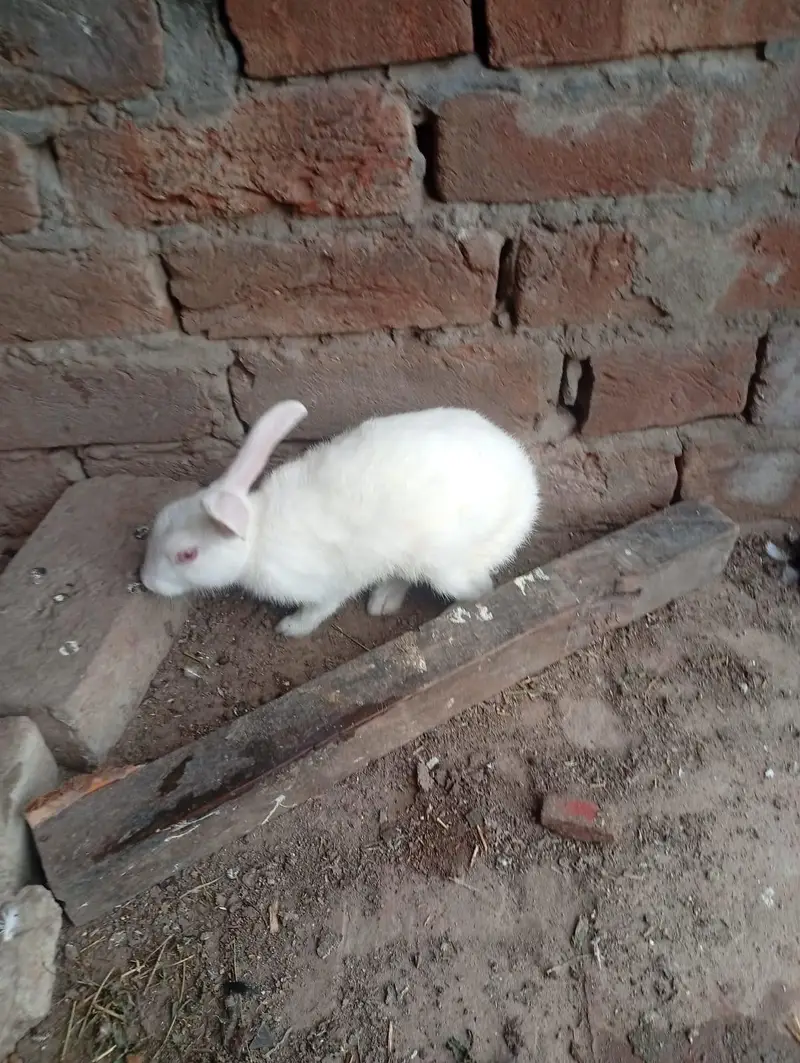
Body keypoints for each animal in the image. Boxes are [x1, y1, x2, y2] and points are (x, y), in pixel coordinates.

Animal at [140, 400, 540, 637]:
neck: (257, 539)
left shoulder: (327, 586)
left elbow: (318, 610)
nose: (146, 582)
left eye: (187, 555)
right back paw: (382, 601)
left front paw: (289, 627)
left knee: (481, 589)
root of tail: (528, 486)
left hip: (447, 567)